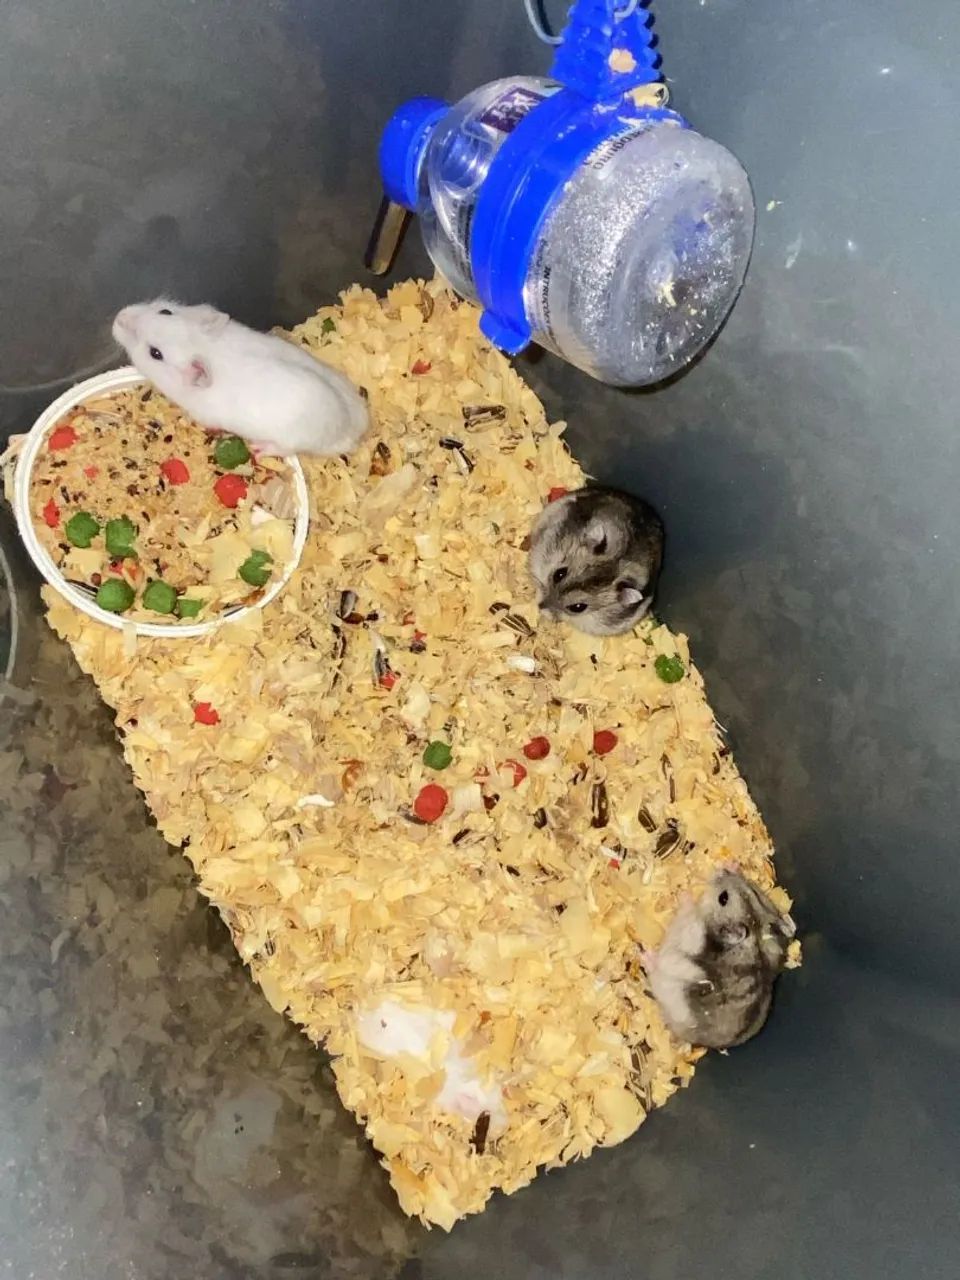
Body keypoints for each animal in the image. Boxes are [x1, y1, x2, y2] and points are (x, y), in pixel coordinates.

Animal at [112, 299, 369, 458]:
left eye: (155, 353)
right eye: (165, 311)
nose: (118, 317)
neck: (207, 348)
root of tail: (354, 432)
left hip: (291, 439)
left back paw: (258, 448)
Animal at [643, 870, 796, 1050]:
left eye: (723, 898)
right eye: (754, 889)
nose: (722, 870)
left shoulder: (689, 931)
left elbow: (686, 910)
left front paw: (684, 894)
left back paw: (646, 956)